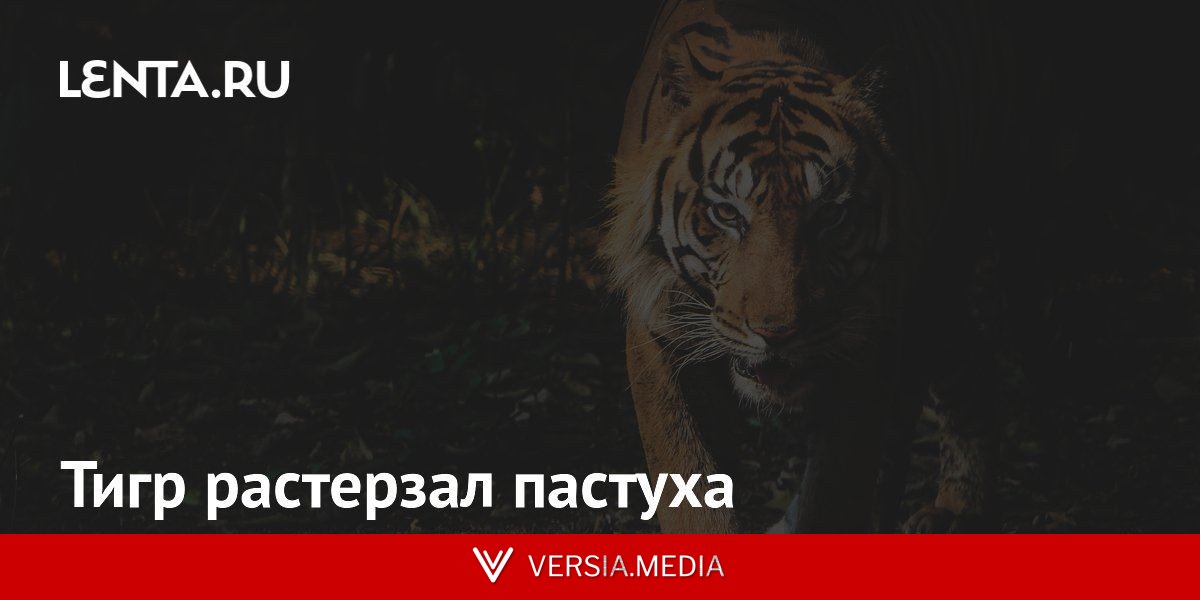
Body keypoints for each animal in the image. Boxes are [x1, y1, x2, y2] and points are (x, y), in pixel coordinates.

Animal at [600, 0, 1014, 532]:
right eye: (727, 213)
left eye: (830, 214)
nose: (777, 333)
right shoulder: (660, 327)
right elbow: (690, 485)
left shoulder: (868, 337)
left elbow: (834, 491)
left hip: (939, 263)